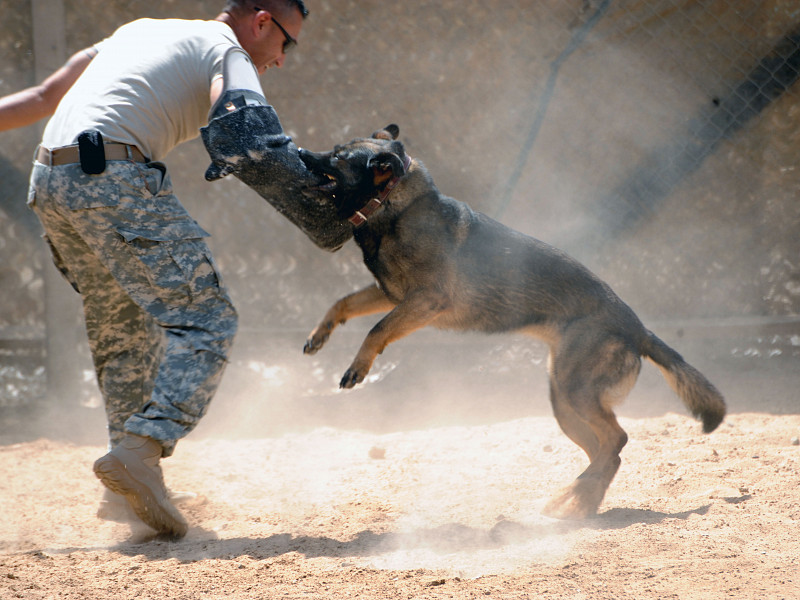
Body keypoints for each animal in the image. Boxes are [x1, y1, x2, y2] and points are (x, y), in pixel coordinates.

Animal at [298, 125, 724, 520]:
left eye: (337, 157)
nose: (300, 151)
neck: (394, 205)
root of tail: (636, 328)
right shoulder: (390, 295)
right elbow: (342, 303)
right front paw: (318, 336)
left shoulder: (424, 301)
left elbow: (377, 329)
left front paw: (357, 367)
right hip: (564, 403)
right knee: (606, 451)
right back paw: (578, 504)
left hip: (576, 393)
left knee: (617, 440)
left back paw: (572, 497)